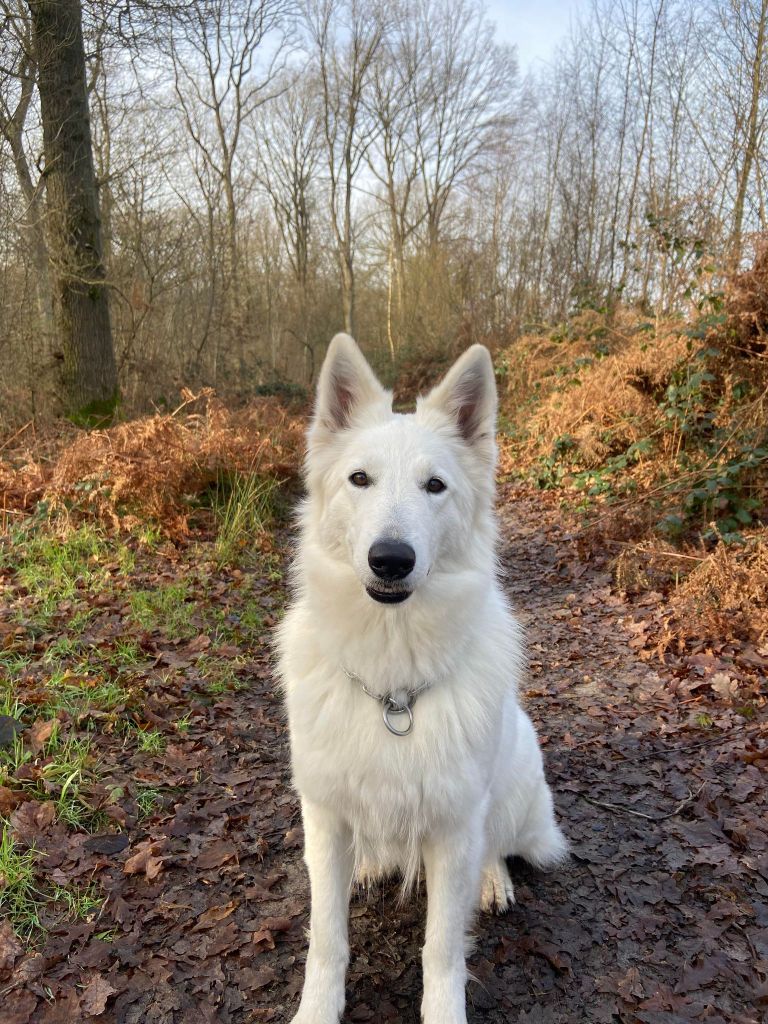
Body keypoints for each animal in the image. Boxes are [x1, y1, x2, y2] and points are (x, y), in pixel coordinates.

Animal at [280, 337, 569, 1024]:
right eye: (359, 479)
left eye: (434, 486)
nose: (391, 559)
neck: (393, 686)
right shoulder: (323, 815)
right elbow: (326, 937)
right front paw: (317, 1009)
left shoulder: (454, 826)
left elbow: (442, 947)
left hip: (512, 787)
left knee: (495, 847)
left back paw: (492, 880)